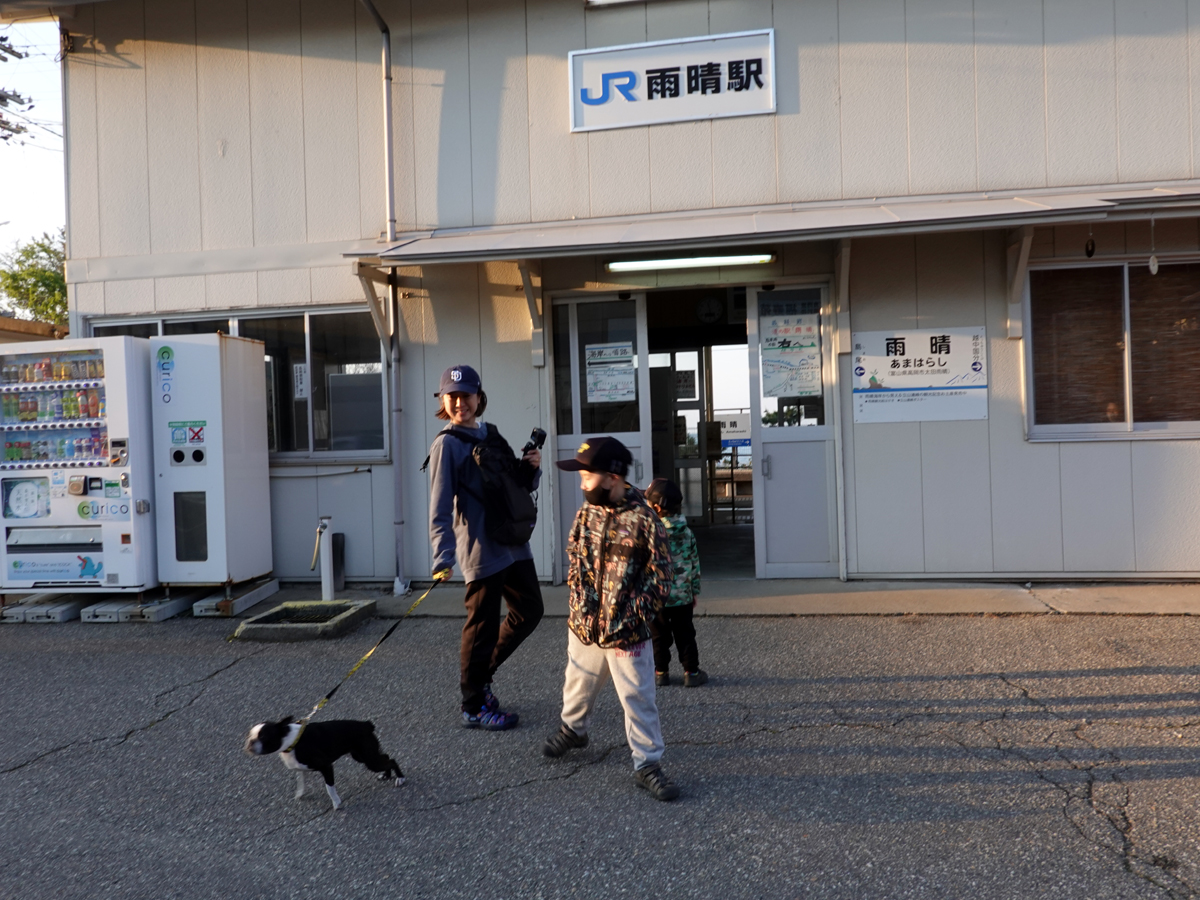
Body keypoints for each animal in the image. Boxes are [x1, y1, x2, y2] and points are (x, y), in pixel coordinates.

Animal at [246, 720, 405, 811]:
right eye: (249, 735)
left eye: (263, 737)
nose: (250, 742)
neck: (291, 739)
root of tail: (366, 724)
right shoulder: (300, 767)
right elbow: (300, 781)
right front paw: (300, 794)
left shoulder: (326, 766)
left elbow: (329, 788)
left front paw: (336, 803)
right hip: (361, 756)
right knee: (386, 757)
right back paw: (386, 775)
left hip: (369, 759)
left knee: (391, 760)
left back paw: (400, 778)